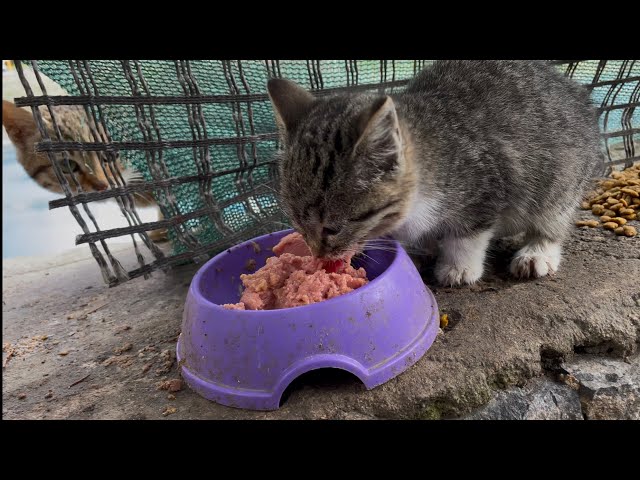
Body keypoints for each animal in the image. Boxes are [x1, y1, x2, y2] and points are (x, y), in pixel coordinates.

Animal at [266, 60, 604, 284]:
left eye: (331, 228)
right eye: (297, 225)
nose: (318, 256)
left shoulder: (485, 185)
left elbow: (468, 234)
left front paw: (458, 267)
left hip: (563, 178)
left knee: (553, 217)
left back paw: (538, 251)